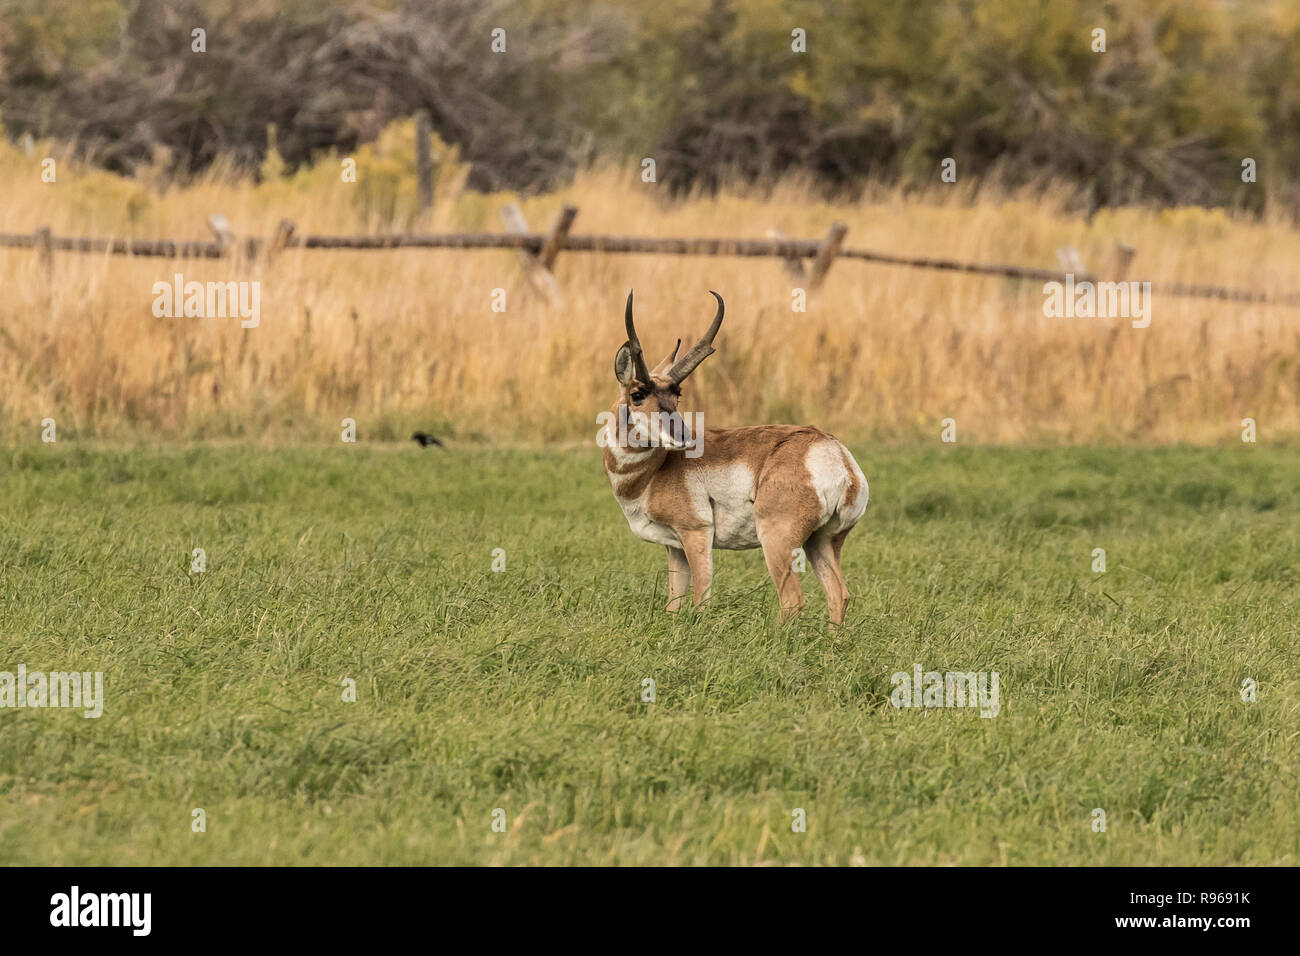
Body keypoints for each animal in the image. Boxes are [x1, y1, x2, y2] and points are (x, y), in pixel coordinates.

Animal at [600, 287, 868, 624]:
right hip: (822, 541)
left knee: (793, 600)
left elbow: (701, 599)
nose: (684, 437)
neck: (654, 472)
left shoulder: (696, 534)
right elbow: (673, 604)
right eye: (637, 394)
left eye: (677, 394)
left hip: (778, 540)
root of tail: (834, 453)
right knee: (839, 595)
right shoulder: (674, 548)